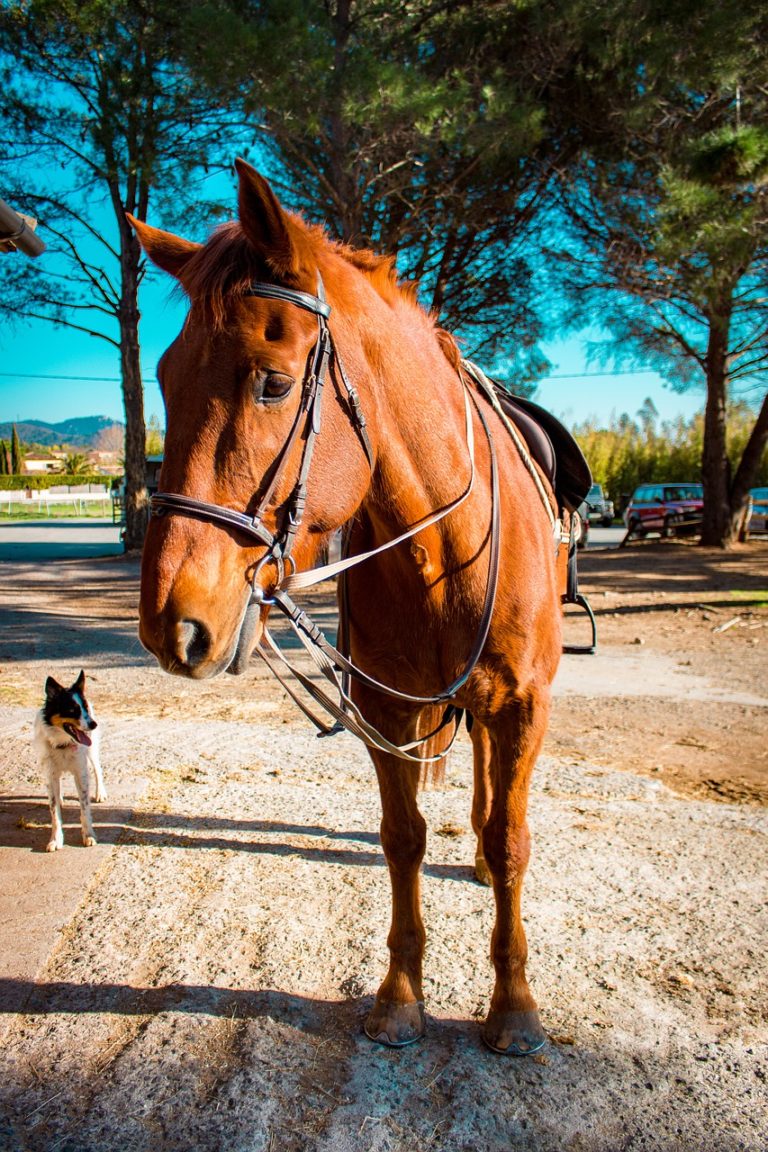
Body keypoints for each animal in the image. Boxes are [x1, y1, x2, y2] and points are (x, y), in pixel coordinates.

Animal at [33, 672, 107, 852]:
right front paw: (55, 840)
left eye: (85, 708)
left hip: (92, 751)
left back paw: (100, 792)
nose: (94, 724)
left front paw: (89, 835)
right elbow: (54, 812)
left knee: (98, 769)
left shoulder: (81, 773)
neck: (63, 744)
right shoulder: (50, 773)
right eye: (72, 710)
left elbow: (84, 808)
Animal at [133, 157, 589, 1055]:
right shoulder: (384, 708)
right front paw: (401, 995)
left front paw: (514, 1006)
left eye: (272, 382)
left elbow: (512, 841)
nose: (171, 624)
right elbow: (401, 840)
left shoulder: (524, 703)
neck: (443, 552)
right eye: (163, 379)